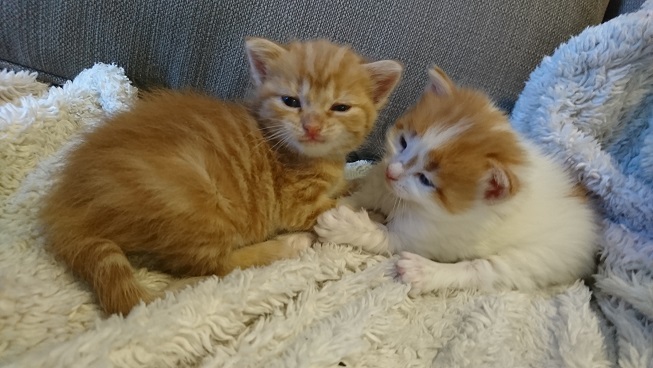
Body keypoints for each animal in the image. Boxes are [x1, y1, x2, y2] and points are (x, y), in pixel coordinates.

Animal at [40, 36, 402, 314]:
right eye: (291, 101)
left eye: (340, 107)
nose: (311, 126)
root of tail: (67, 209)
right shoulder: (295, 205)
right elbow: (338, 207)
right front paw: (370, 218)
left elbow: (351, 187)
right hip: (198, 207)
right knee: (218, 268)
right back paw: (289, 245)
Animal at [314, 67, 596, 296]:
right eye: (403, 142)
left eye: (425, 180)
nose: (392, 172)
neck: (408, 200)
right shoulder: (381, 180)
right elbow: (364, 193)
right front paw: (342, 201)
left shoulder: (423, 236)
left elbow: (382, 236)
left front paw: (341, 224)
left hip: (532, 260)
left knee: (481, 270)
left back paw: (424, 272)